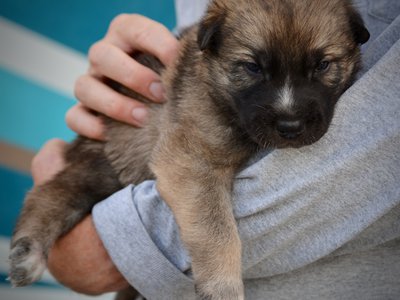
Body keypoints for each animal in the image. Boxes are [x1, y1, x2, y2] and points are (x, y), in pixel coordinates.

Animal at [9, 1, 368, 298]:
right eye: (252, 67)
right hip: (111, 163)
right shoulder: (192, 160)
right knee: (50, 193)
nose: (290, 127)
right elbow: (218, 229)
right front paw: (223, 287)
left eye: (323, 65)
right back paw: (29, 252)